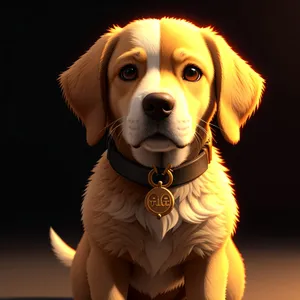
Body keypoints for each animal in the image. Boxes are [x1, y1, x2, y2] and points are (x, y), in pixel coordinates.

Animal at [49, 17, 264, 300]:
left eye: (192, 72)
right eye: (128, 72)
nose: (158, 105)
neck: (160, 178)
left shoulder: (207, 260)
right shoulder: (107, 261)